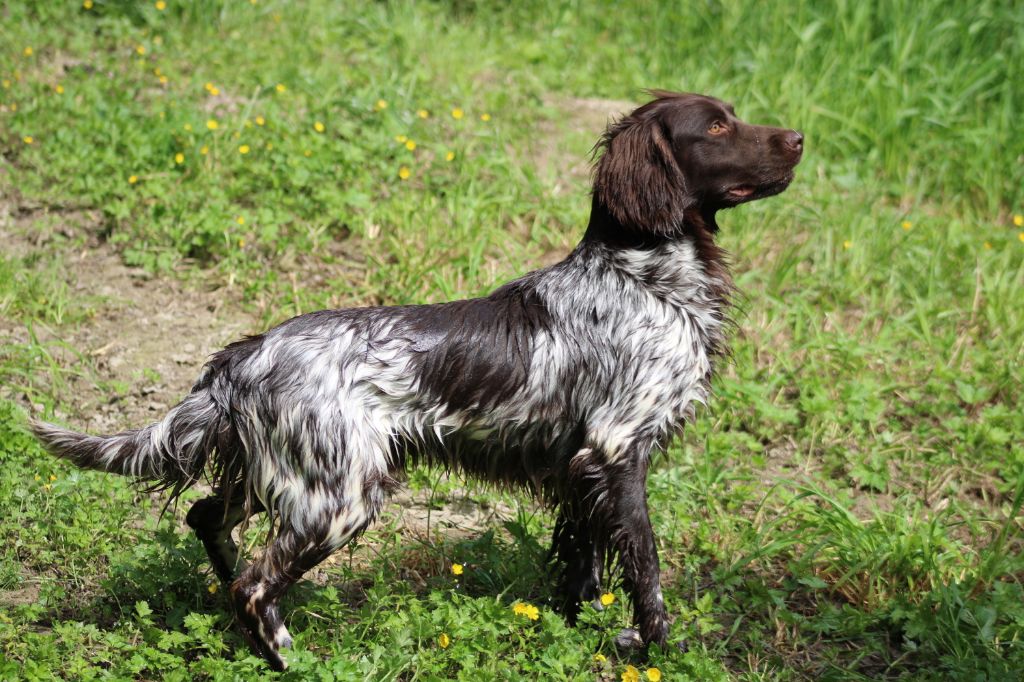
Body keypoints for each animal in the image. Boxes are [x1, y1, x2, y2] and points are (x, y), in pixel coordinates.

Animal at [29, 91, 798, 667]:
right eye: (718, 126)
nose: (797, 137)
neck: (644, 276)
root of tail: (245, 357)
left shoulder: (578, 468)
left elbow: (583, 566)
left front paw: (583, 632)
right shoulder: (616, 452)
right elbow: (647, 569)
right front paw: (653, 644)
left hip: (275, 477)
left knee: (208, 525)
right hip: (340, 497)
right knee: (253, 584)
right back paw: (287, 658)